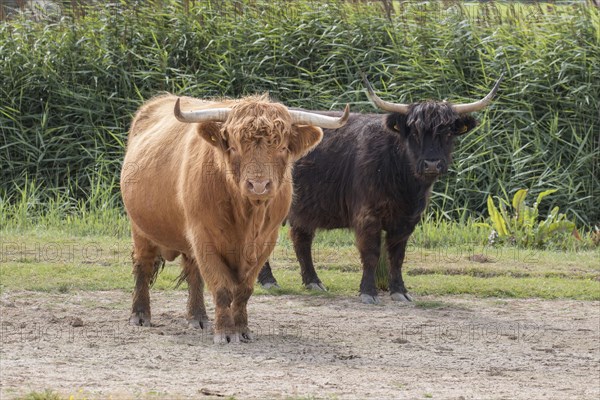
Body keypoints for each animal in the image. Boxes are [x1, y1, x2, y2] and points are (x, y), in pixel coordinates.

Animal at [258, 74, 502, 304]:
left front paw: (400, 291)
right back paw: (269, 280)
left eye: (448, 133)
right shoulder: (367, 216)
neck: (405, 185)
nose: (432, 164)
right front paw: (368, 292)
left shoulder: (407, 220)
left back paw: (313, 282)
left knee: (301, 239)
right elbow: (372, 254)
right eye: (414, 133)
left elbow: (397, 256)